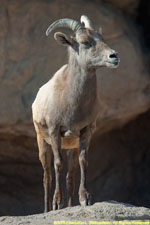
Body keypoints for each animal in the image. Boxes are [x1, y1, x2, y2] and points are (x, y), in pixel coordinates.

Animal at [31, 14, 119, 212]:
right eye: (85, 42)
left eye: (102, 38)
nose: (114, 56)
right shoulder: (55, 131)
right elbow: (57, 164)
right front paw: (57, 203)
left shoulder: (86, 131)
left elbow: (83, 161)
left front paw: (85, 199)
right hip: (42, 142)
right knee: (46, 176)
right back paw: (47, 209)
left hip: (71, 146)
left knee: (69, 177)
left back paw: (70, 205)